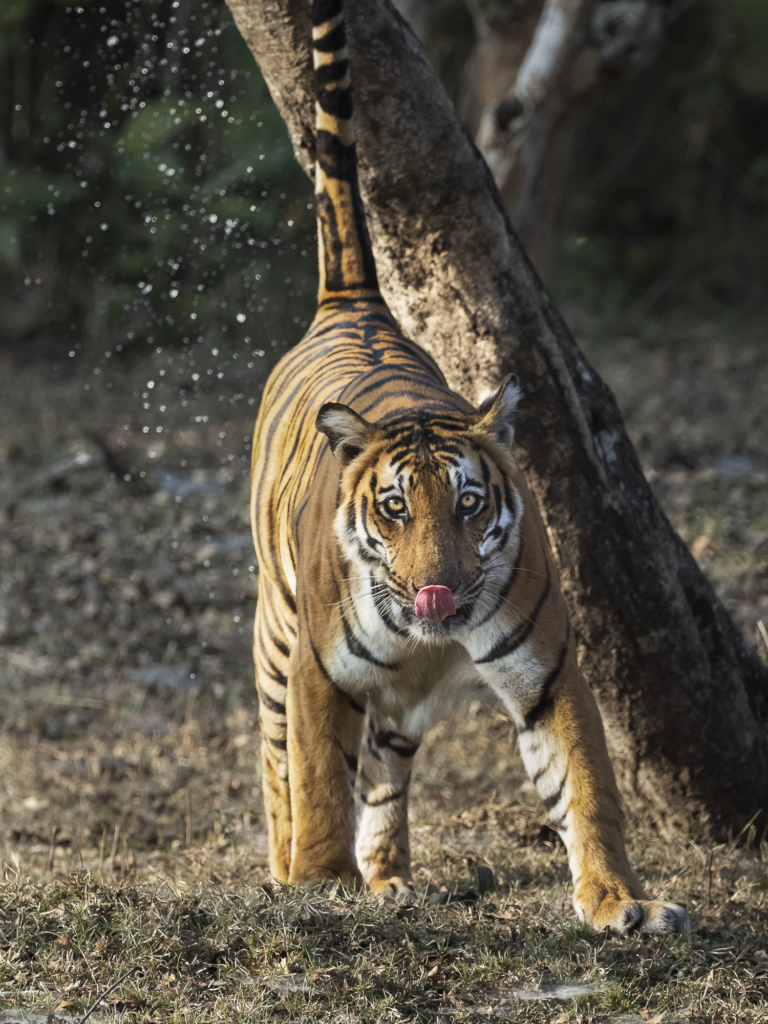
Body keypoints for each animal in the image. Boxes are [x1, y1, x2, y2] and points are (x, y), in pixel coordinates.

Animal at [250, 0, 692, 937]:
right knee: (278, 763)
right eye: (393, 508)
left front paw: (621, 902)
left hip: (403, 708)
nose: (437, 594)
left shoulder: (549, 671)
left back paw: (390, 879)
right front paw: (318, 881)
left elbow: (587, 788)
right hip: (275, 633)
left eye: (467, 505)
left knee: (385, 774)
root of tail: (357, 305)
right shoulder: (317, 671)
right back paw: (288, 867)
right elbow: (317, 779)